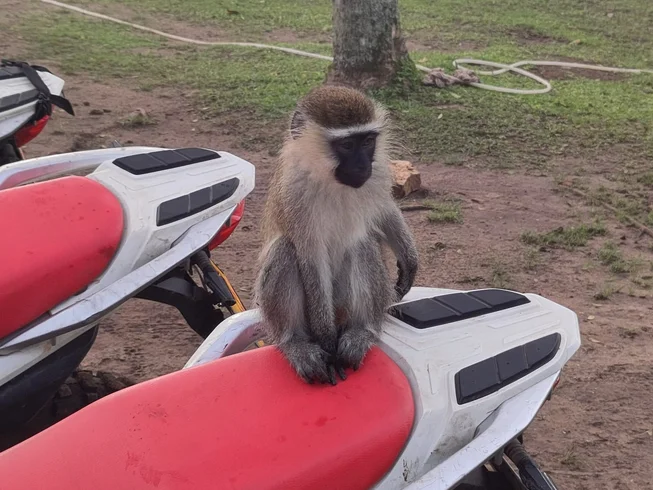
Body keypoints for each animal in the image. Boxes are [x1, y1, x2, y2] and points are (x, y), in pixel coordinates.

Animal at [254, 84, 418, 385]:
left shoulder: (378, 174)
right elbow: (310, 258)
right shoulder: (295, 193)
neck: (331, 180)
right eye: (347, 145)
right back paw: (296, 344)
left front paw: (409, 257)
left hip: (345, 305)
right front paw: (327, 341)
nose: (363, 166)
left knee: (362, 245)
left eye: (367, 141)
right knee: (284, 249)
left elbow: (383, 208)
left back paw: (362, 331)